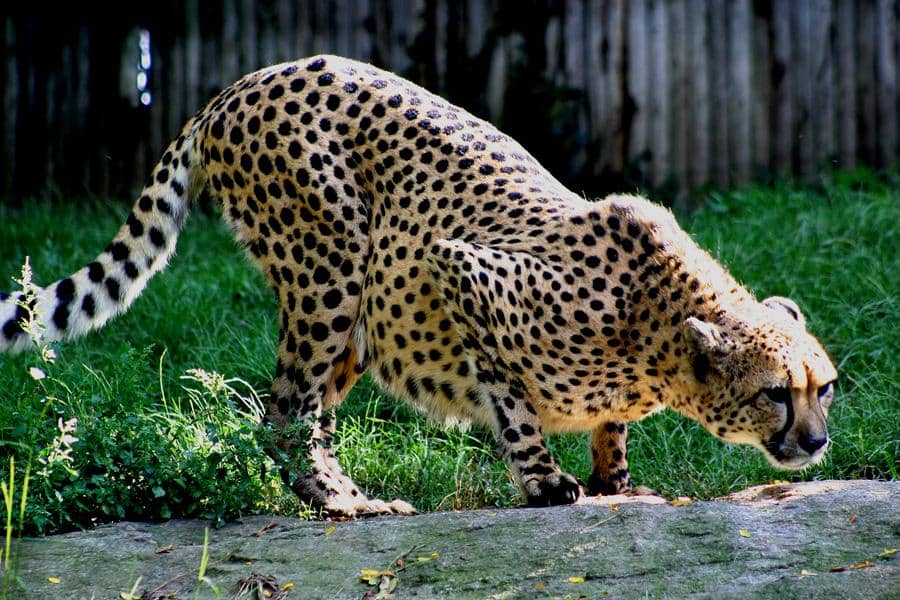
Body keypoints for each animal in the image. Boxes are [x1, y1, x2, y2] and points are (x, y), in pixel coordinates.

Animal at [0, 55, 837, 517]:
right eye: (775, 393)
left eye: (823, 387)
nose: (818, 441)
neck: (657, 335)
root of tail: (242, 83)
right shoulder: (461, 270)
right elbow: (513, 402)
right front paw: (546, 483)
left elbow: (609, 427)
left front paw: (615, 478)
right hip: (332, 269)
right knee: (284, 413)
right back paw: (346, 505)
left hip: (349, 319)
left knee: (299, 414)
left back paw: (345, 494)